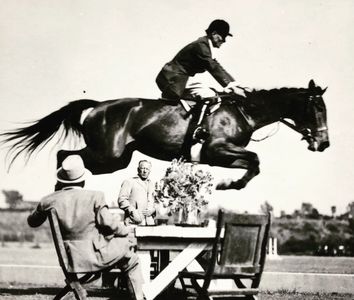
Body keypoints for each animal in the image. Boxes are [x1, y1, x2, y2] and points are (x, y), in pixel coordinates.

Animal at [0, 79, 330, 190]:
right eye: (317, 109)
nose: (324, 143)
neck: (244, 111)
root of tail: (97, 107)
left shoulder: (222, 155)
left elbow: (255, 163)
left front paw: (230, 184)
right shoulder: (216, 151)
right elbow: (256, 160)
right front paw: (229, 185)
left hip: (115, 160)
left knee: (71, 157)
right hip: (108, 153)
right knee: (64, 154)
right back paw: (62, 184)